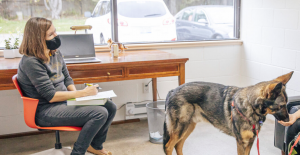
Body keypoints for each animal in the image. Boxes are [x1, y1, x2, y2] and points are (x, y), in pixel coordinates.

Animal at [163, 71, 294, 155]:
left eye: (286, 104)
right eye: (281, 106)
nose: (289, 121)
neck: (250, 106)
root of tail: (172, 90)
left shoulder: (250, 141)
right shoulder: (241, 143)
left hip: (188, 127)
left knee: (178, 145)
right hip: (181, 128)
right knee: (169, 146)